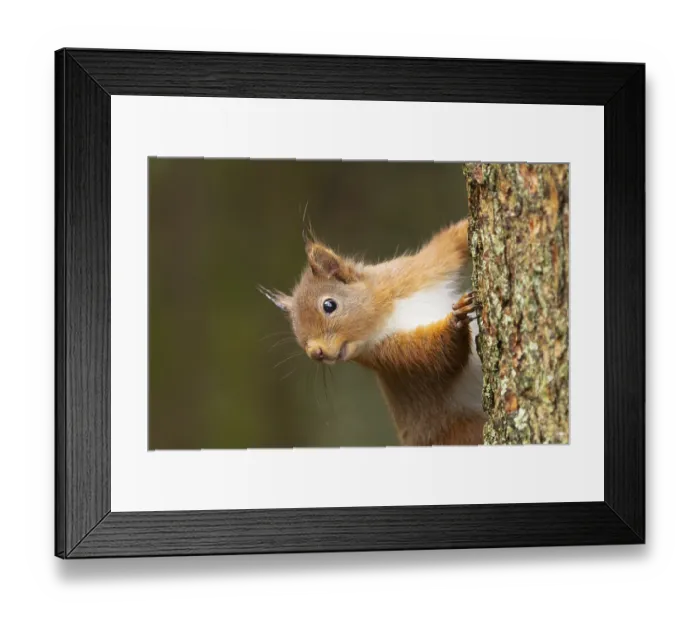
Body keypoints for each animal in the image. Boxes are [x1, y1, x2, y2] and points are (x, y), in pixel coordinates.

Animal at [259, 218, 486, 446]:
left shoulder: (416, 270)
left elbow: (450, 244)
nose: (316, 353)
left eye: (329, 305)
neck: (385, 313)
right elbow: (438, 355)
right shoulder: (387, 354)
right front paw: (457, 319)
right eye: (297, 333)